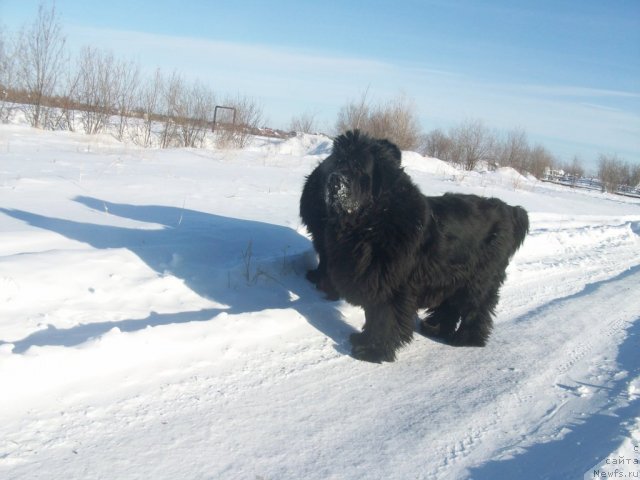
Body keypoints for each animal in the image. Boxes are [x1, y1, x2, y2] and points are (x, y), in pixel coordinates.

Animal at [298, 129, 528, 362]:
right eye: (337, 162)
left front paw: (373, 351)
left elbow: (383, 317)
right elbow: (372, 314)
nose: (334, 180)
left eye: (358, 166)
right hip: (452, 275)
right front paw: (364, 340)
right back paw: (436, 328)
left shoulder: (392, 285)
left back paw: (467, 338)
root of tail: (510, 210)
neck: (373, 221)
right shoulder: (376, 279)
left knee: (477, 308)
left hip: (479, 278)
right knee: (451, 304)